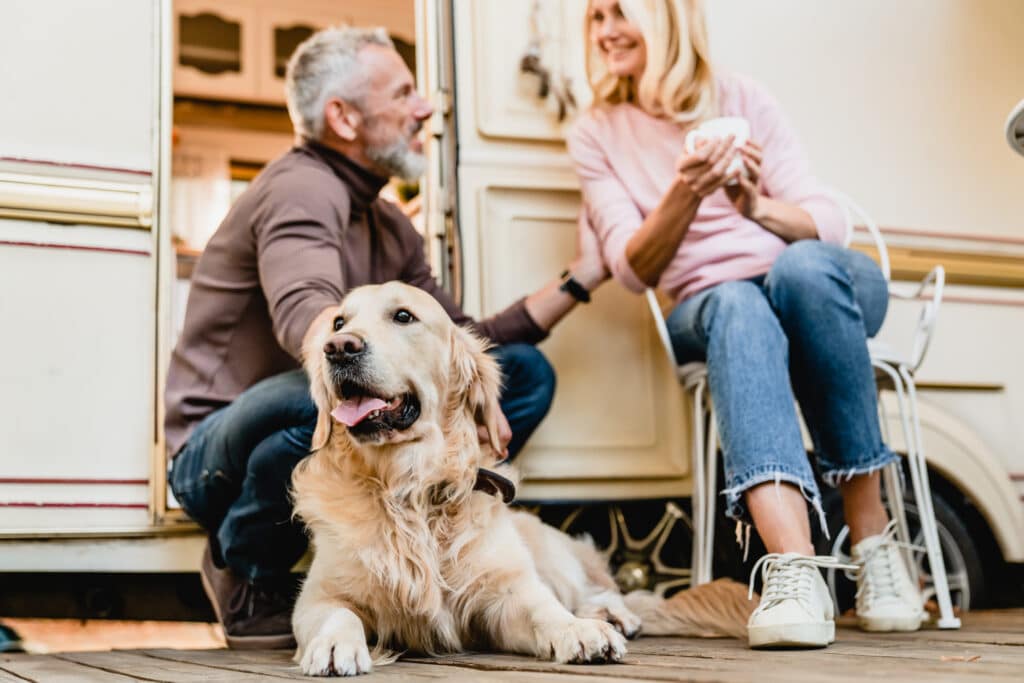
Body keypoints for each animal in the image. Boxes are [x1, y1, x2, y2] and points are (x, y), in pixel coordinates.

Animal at [290, 280, 753, 675]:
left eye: (403, 316)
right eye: (338, 323)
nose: (338, 348)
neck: (410, 490)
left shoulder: (504, 593)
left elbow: (543, 609)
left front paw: (578, 631)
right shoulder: (317, 596)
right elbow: (337, 612)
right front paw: (334, 644)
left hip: (552, 558)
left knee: (599, 591)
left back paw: (612, 616)